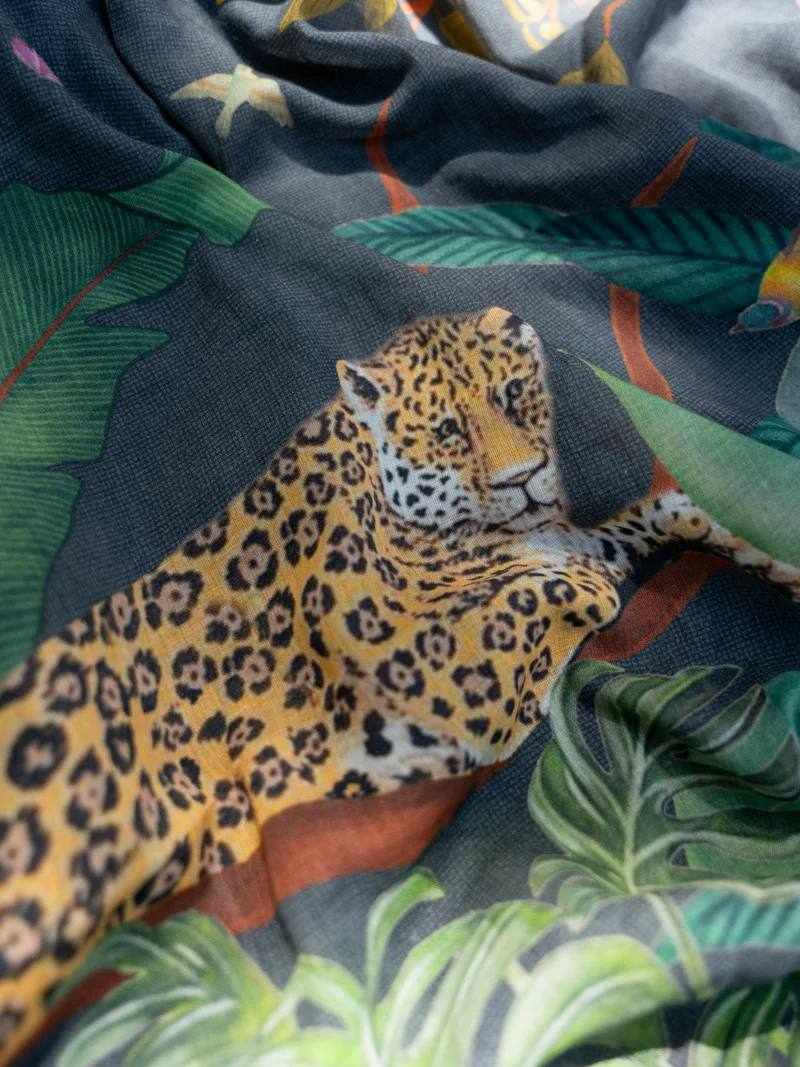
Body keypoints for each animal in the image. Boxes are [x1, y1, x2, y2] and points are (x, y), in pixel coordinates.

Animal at [0, 306, 797, 1060]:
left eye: (513, 395)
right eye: (447, 430)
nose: (523, 479)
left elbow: (667, 512)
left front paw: (762, 550)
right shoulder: (437, 669)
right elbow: (548, 591)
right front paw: (584, 585)